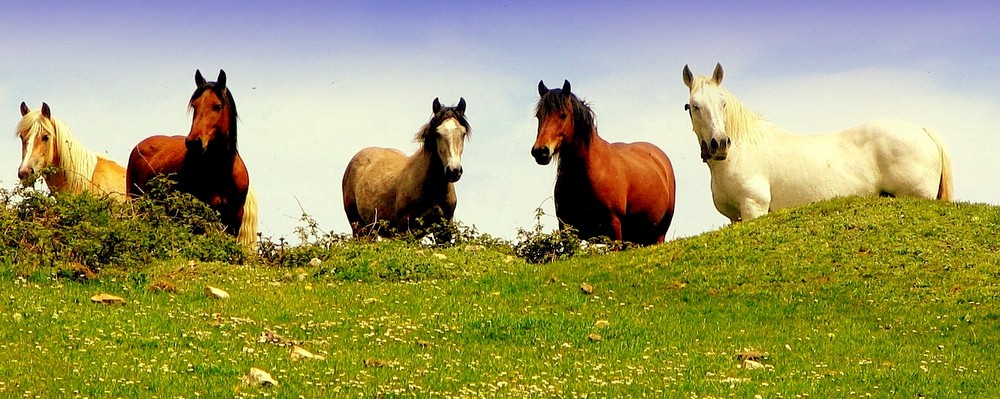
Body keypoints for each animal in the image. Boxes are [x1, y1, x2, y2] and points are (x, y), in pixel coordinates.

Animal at [342, 98, 470, 238]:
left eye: (463, 133)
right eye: (438, 133)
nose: (454, 171)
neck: (431, 187)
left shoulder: (444, 229)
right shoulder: (405, 229)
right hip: (359, 228)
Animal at [532, 80, 680, 245]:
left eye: (563, 115)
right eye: (538, 116)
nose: (540, 151)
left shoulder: (614, 227)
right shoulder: (566, 229)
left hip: (659, 234)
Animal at [680, 64, 952, 223]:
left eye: (723, 103)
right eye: (694, 106)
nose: (719, 143)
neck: (741, 152)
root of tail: (923, 130)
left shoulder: (753, 209)